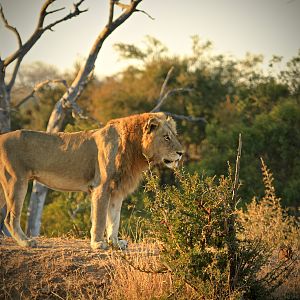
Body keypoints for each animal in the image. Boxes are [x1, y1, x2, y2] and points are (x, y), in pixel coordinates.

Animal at [0, 112, 183, 248]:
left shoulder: (117, 190)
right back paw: (25, 242)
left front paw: (115, 243)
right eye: (166, 137)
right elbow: (100, 217)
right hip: (17, 181)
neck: (135, 148)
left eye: (175, 135)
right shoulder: (101, 186)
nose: (181, 153)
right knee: (10, 218)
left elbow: (114, 219)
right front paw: (98, 244)